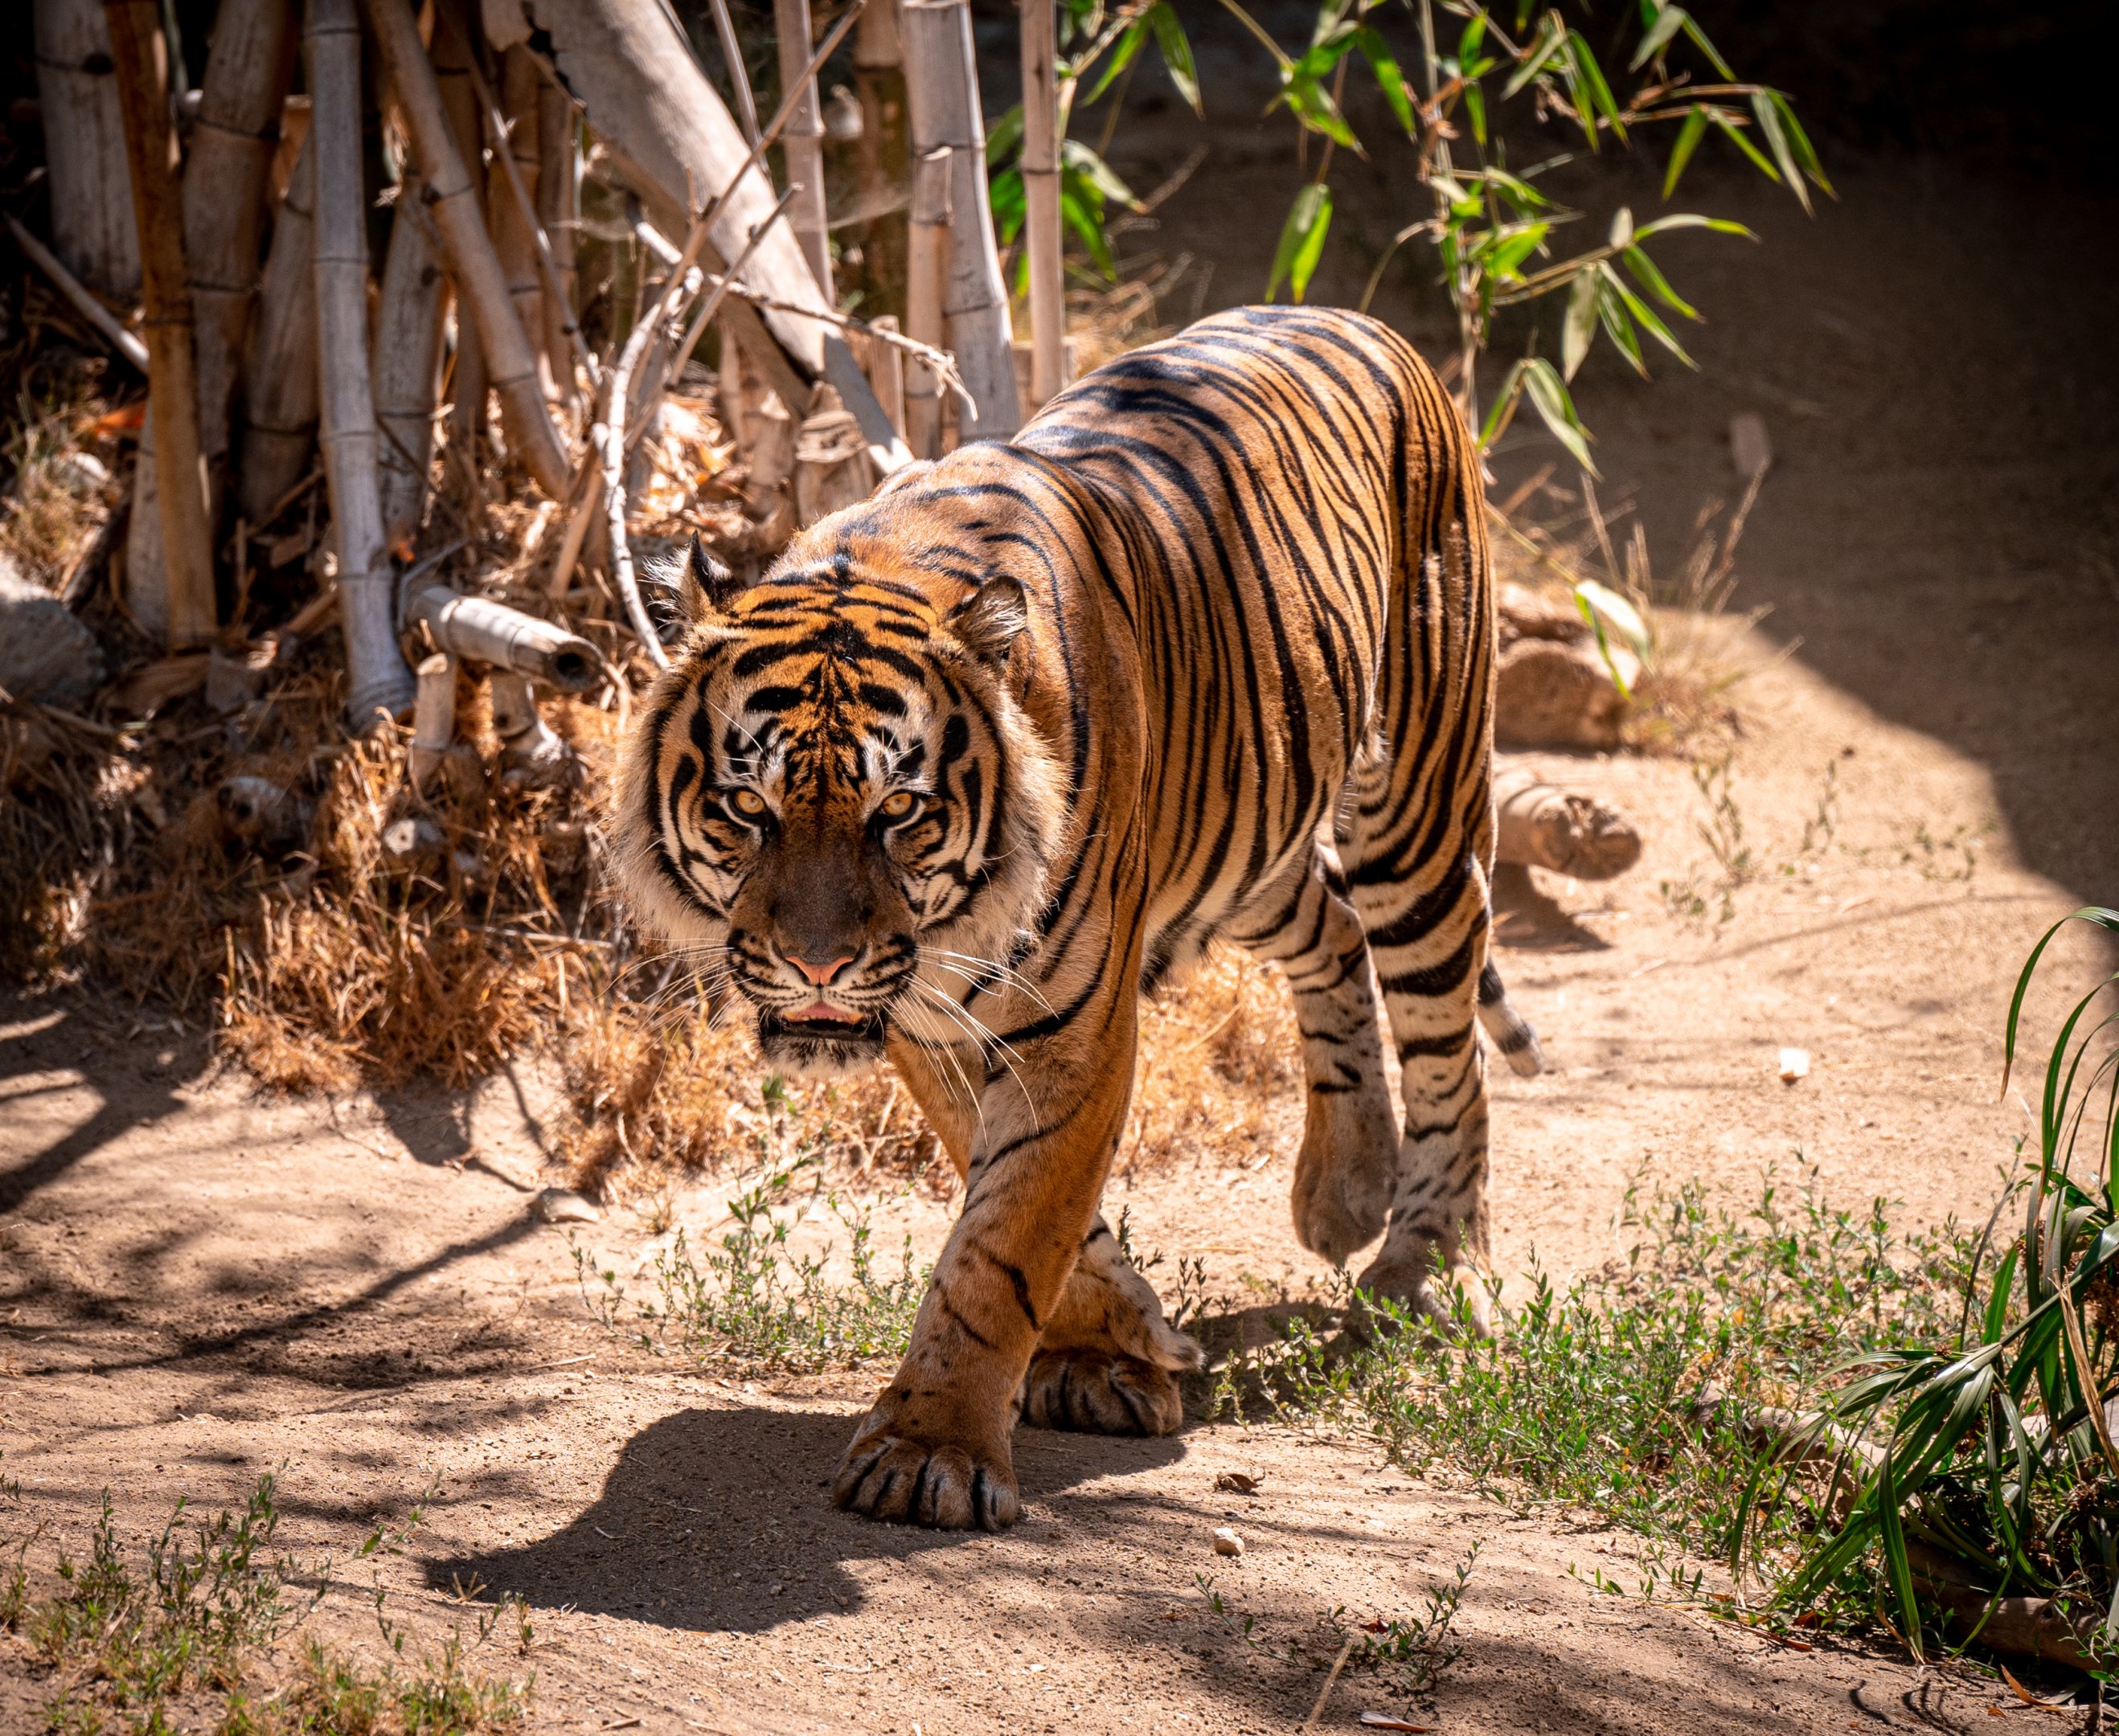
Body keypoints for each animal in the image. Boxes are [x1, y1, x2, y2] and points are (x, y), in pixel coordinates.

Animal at [615, 304, 1543, 1532]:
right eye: (746, 807)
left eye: (898, 810)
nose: (818, 969)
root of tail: (1359, 319)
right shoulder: (938, 1022)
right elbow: (1018, 1198)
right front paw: (1114, 1351)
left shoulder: (1073, 1023)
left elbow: (1009, 1238)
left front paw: (931, 1454)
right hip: (1248, 840)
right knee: (1334, 928)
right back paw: (1341, 1195)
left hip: (1420, 802)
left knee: (1445, 1035)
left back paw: (1420, 1265)